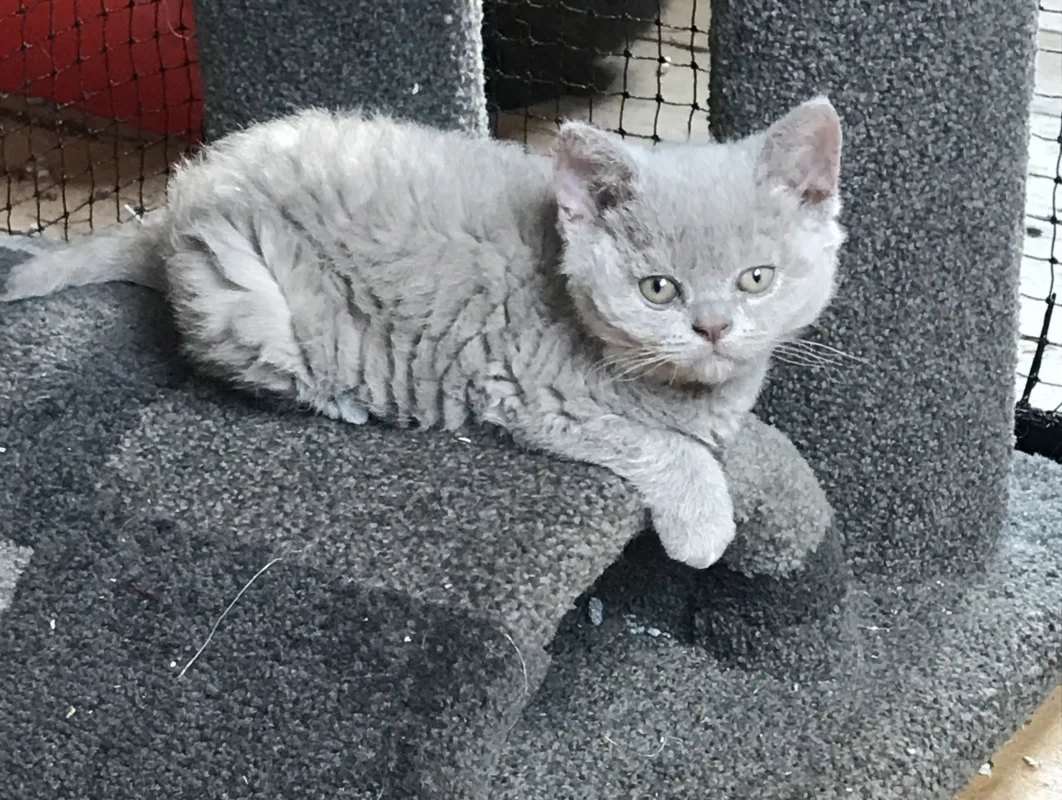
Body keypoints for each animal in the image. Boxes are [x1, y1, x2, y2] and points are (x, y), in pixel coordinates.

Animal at [0, 99, 845, 569]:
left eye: (757, 279)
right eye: (657, 288)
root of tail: (173, 209)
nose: (713, 326)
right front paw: (704, 524)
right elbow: (663, 445)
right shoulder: (536, 391)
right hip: (246, 303)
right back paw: (341, 402)